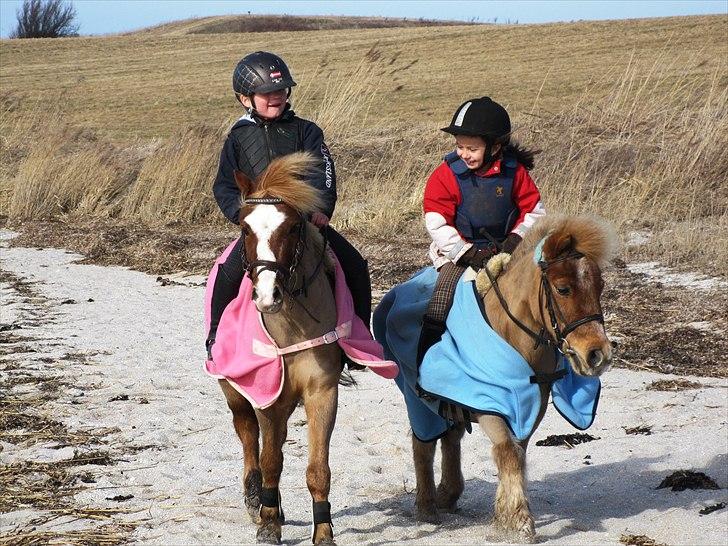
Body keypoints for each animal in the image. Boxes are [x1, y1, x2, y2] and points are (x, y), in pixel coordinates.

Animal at [218, 152, 342, 544]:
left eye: (291, 228)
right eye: (245, 229)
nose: (267, 296)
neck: (292, 324)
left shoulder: (321, 392)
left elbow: (318, 469)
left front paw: (324, 531)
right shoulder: (265, 396)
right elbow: (270, 459)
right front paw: (269, 521)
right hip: (235, 392)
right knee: (247, 434)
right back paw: (254, 498)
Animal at [412, 216, 616, 540]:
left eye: (600, 286)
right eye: (563, 289)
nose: (598, 354)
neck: (511, 332)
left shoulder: (531, 405)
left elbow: (518, 453)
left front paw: (503, 515)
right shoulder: (488, 404)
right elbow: (508, 453)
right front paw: (519, 521)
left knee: (451, 439)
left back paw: (448, 493)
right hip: (417, 398)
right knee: (423, 444)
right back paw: (426, 506)